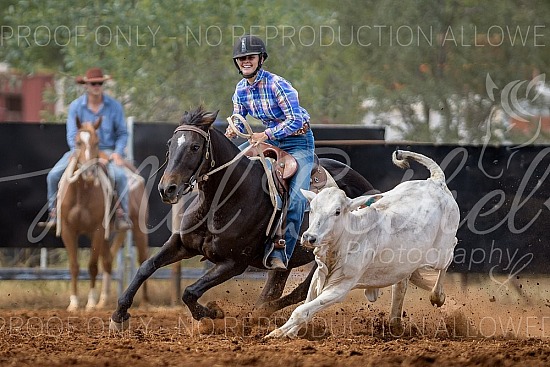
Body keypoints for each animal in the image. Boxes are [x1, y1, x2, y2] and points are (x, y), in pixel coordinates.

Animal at [58, 117, 150, 310]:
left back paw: (145, 302)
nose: (88, 172)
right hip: (108, 236)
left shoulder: (97, 230)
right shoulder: (68, 230)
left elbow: (92, 265)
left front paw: (90, 303)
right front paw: (74, 303)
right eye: (78, 142)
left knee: (143, 259)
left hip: (139, 228)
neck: (82, 192)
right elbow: (74, 265)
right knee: (107, 261)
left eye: (97, 142)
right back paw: (103, 301)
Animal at [109, 106, 376, 330]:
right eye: (170, 144)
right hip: (285, 261)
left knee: (297, 292)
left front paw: (212, 314)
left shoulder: (233, 263)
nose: (167, 189)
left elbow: (190, 291)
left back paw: (257, 315)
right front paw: (119, 316)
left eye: (195, 147)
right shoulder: (182, 244)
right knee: (276, 287)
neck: (222, 200)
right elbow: (147, 267)